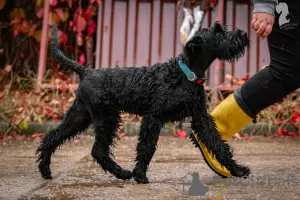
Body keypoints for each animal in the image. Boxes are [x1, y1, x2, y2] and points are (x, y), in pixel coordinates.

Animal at [36, 22, 250, 184]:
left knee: (53, 137)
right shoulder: (153, 117)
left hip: (81, 116)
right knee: (98, 150)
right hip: (106, 118)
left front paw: (237, 170)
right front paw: (140, 175)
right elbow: (146, 146)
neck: (186, 74)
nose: (244, 34)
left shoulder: (201, 118)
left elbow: (218, 143)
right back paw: (123, 173)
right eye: (218, 31)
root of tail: (85, 72)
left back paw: (45, 169)